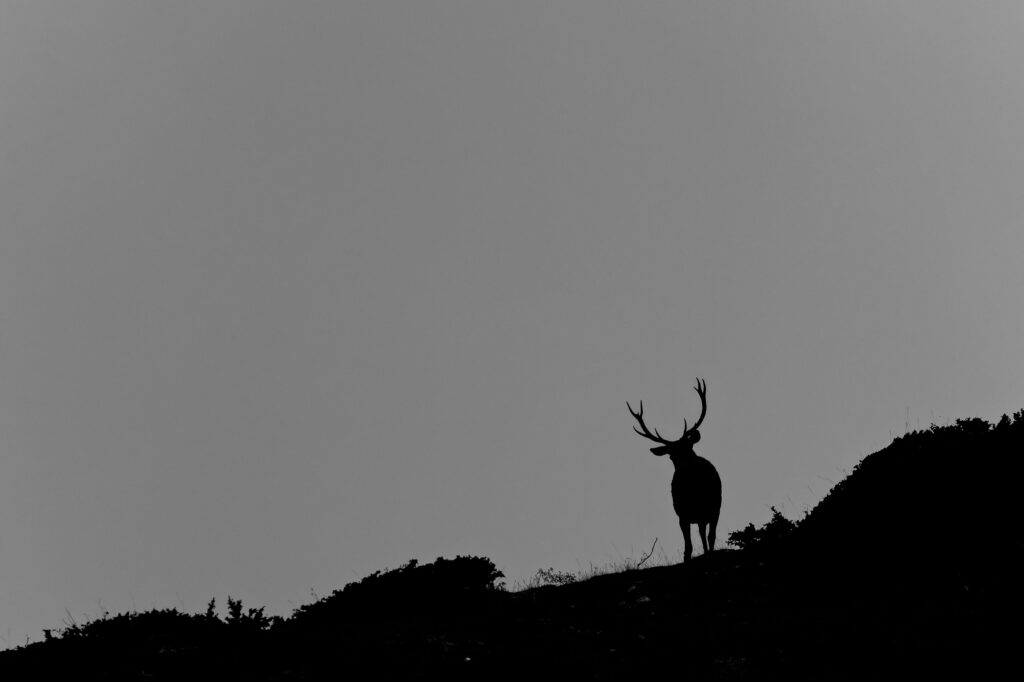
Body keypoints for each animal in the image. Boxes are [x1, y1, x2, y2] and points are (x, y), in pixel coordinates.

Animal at [628, 378, 722, 562]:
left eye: (689, 447)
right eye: (671, 456)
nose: (686, 467)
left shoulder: (711, 510)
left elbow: (709, 537)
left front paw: (708, 553)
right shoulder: (682, 515)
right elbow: (688, 547)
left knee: (708, 535)